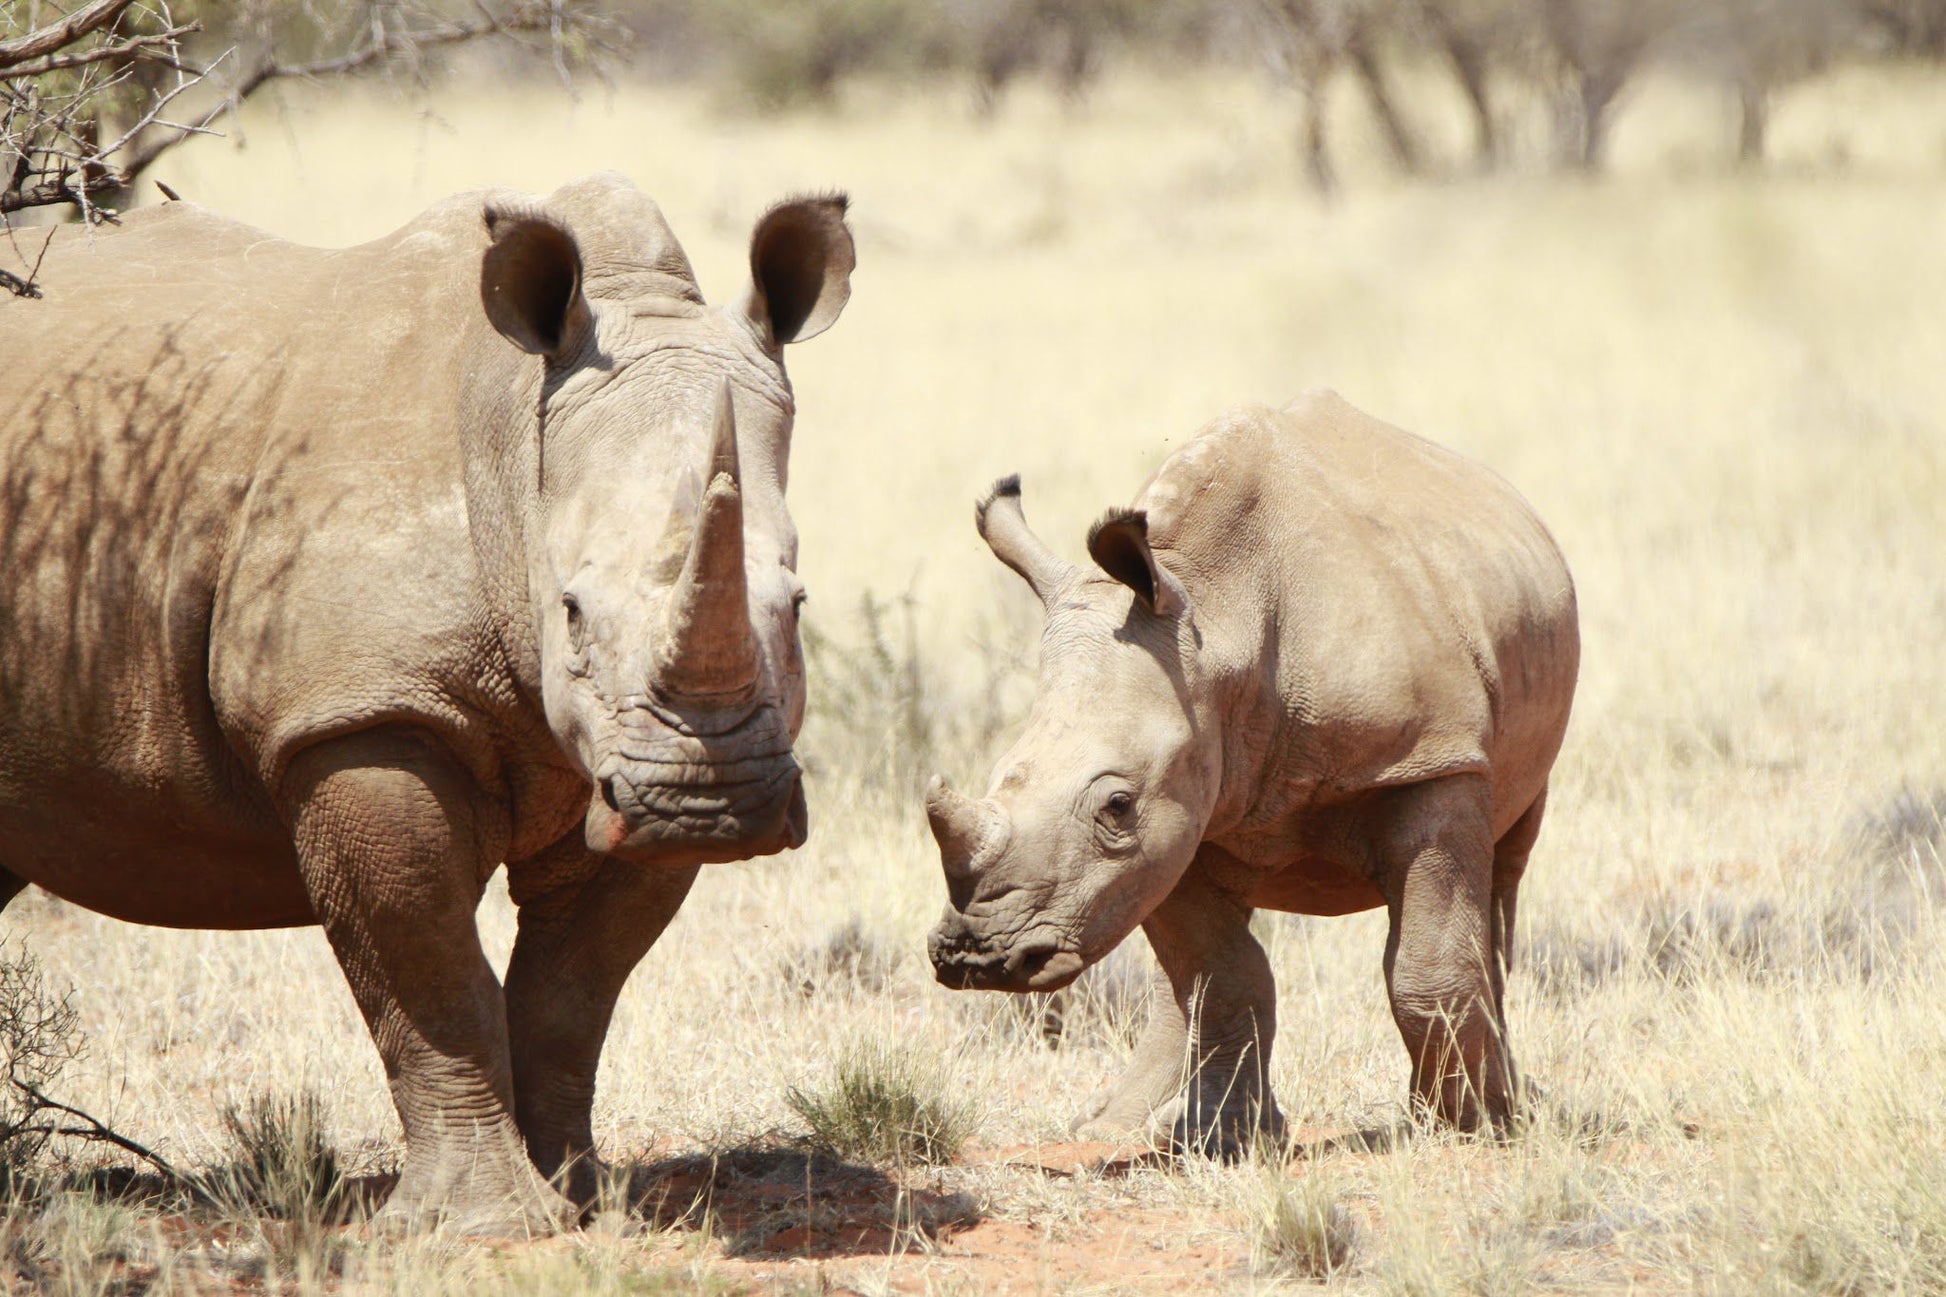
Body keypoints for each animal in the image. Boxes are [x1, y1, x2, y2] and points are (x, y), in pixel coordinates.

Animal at [0, 177, 860, 1230]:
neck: (512, 437)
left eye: (799, 605)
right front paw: (489, 1224)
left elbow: (573, 995)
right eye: (571, 610)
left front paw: (586, 1202)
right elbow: (429, 971)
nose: (710, 804)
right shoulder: (360, 715)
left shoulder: (613, 770)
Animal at [918, 391, 1572, 1152]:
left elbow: (1428, 965)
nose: (979, 959)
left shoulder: (1431, 759)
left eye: (1116, 804)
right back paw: (1119, 1125)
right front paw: (1223, 1140)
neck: (1219, 615)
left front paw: (1469, 1126)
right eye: (999, 773)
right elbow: (1220, 973)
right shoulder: (1179, 814)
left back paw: (1507, 1104)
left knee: (1499, 889)